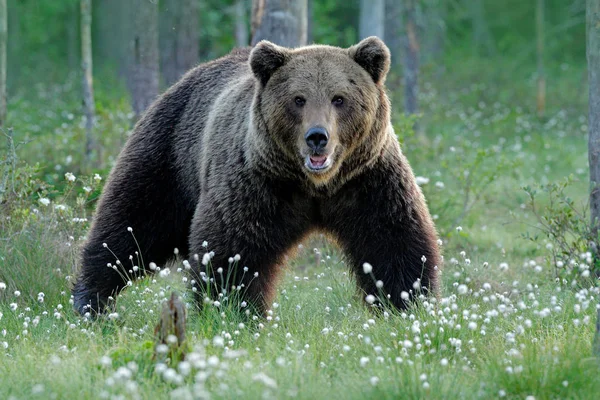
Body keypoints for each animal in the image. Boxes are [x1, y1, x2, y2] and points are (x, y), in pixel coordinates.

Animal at [74, 37, 440, 314]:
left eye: (340, 98)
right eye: (298, 99)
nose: (317, 137)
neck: (315, 186)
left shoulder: (367, 180)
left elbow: (392, 240)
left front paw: (407, 304)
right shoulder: (256, 183)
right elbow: (233, 251)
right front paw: (232, 311)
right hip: (170, 153)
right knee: (132, 224)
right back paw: (90, 301)